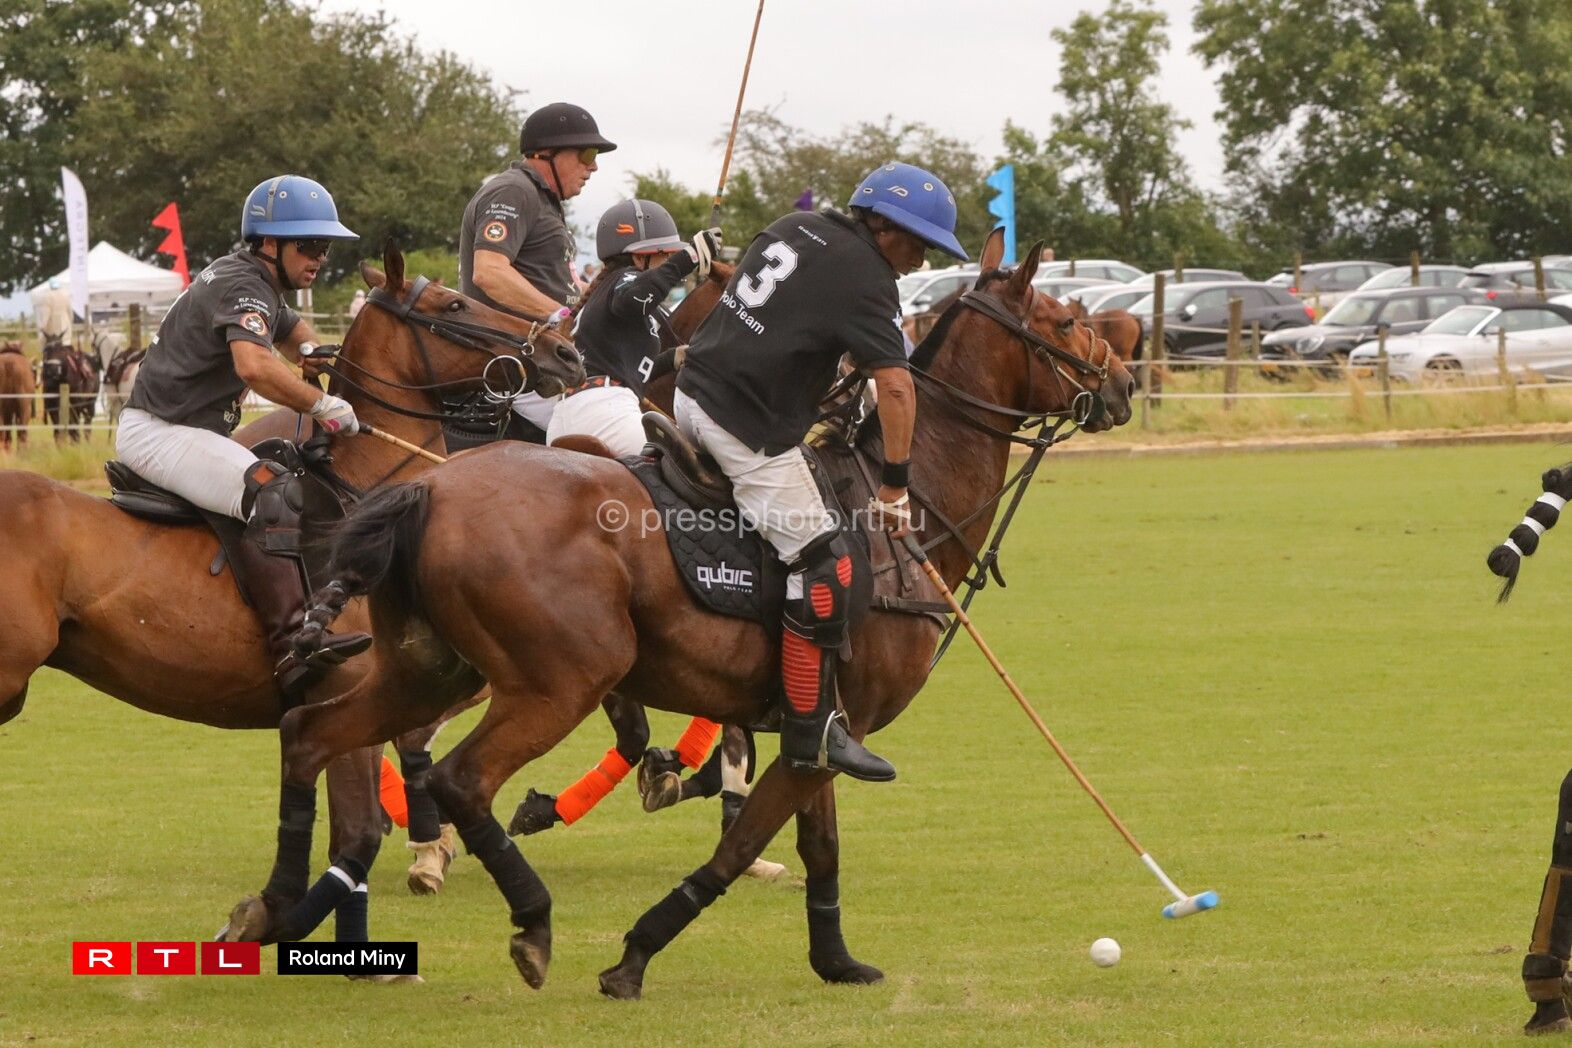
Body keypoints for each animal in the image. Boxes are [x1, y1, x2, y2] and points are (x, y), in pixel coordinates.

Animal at [222, 229, 1134, 998]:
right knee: (457, 777)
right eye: (1064, 317)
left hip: (428, 665)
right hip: (558, 680)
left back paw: (277, 909)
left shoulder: (822, 728)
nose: (1124, 383)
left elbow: (817, 843)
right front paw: (635, 953)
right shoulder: (822, 731)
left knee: (311, 733)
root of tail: (427, 487)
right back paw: (527, 919)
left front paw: (836, 959)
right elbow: (741, 842)